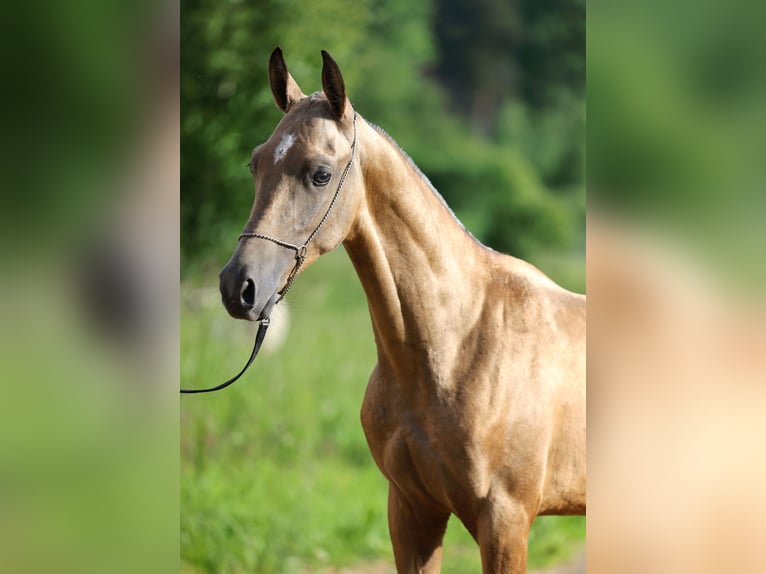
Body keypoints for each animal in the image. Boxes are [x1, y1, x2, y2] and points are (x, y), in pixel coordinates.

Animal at [218, 48, 588, 574]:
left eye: (320, 173)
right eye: (255, 164)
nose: (239, 287)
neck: (456, 345)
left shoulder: (506, 522)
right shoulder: (412, 510)